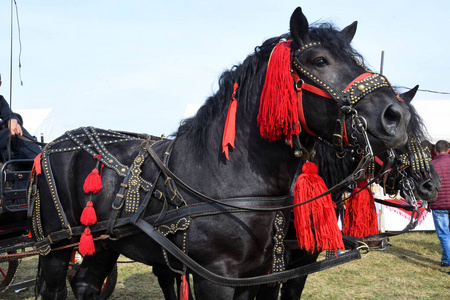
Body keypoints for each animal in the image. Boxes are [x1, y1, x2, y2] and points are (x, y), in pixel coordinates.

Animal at [29, 7, 414, 300]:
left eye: (357, 60)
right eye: (319, 60)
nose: (396, 117)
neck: (228, 176)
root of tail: (51, 146)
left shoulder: (253, 276)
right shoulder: (215, 276)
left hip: (103, 242)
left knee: (86, 283)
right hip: (57, 246)